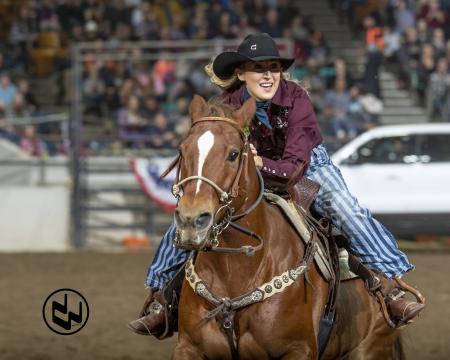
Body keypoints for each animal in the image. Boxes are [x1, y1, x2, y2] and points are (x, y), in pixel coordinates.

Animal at [171, 94, 402, 358]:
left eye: (233, 154)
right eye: (181, 150)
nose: (191, 219)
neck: (237, 269)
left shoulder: (299, 348)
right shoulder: (188, 347)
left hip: (371, 348)